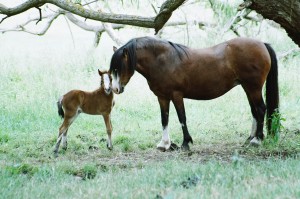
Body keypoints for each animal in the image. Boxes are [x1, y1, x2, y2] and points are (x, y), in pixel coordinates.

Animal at [109, 36, 278, 150]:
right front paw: (164, 144)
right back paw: (250, 138)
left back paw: (257, 140)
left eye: (119, 67)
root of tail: (262, 44)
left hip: (253, 88)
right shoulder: (162, 97)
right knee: (254, 111)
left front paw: (186, 143)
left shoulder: (176, 95)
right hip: (247, 88)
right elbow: (164, 119)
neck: (163, 61)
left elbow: (182, 118)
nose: (115, 89)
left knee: (261, 109)